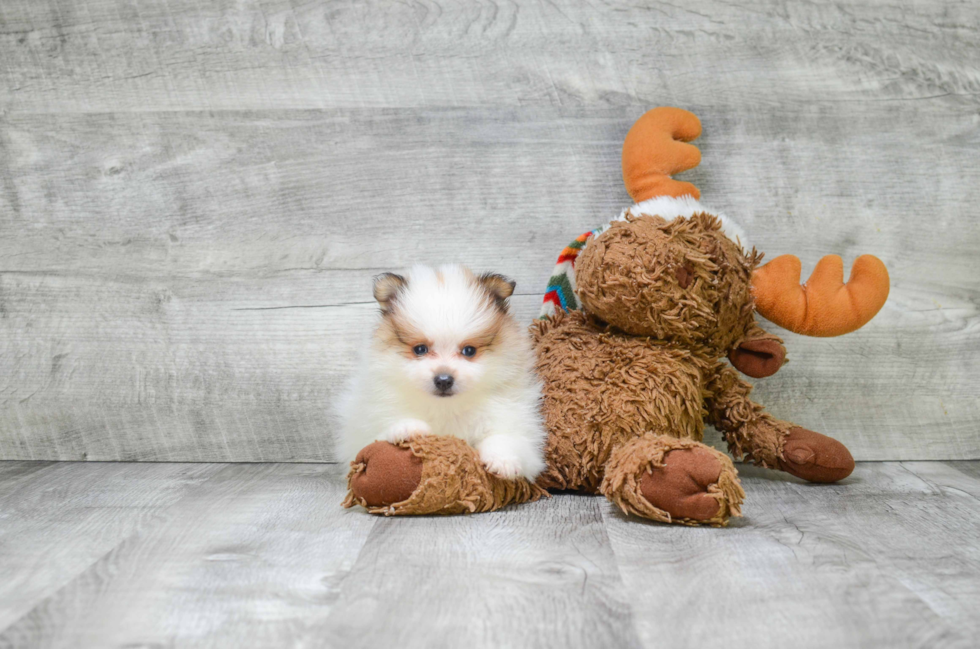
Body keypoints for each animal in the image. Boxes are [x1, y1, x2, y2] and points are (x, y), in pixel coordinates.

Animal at [338, 264, 548, 480]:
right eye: (420, 349)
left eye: (469, 351)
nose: (444, 380)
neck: (448, 407)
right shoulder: (365, 429)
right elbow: (380, 434)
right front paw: (407, 428)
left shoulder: (516, 424)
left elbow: (505, 438)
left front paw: (503, 460)